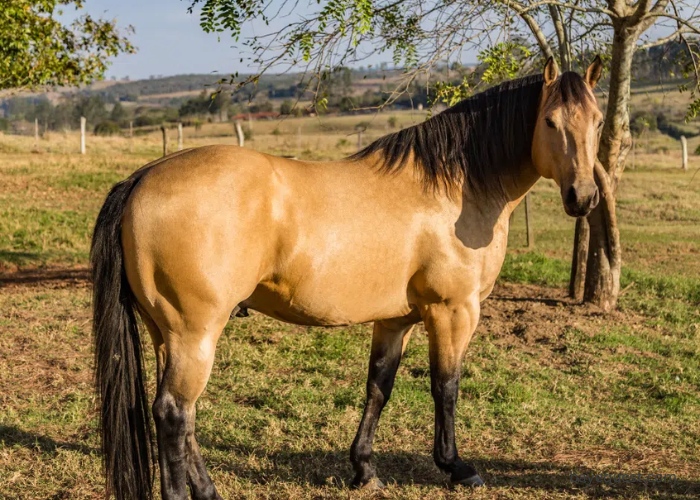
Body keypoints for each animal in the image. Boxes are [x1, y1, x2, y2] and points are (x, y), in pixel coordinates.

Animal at [93, 56, 604, 498]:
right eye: (550, 122)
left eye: (597, 122)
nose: (583, 197)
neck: (455, 188)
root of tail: (142, 179)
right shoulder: (453, 311)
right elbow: (446, 386)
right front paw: (457, 467)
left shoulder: (396, 319)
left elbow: (379, 386)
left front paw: (364, 469)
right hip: (194, 334)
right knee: (174, 413)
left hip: (167, 334)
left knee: (183, 416)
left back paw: (210, 490)